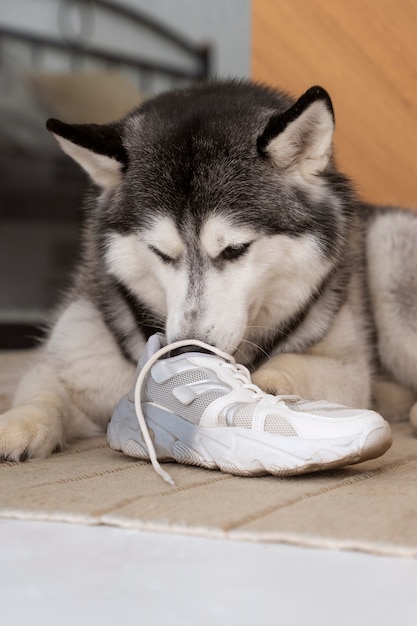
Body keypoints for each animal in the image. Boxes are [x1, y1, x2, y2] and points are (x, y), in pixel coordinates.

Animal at [0, 80, 416, 458]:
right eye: (160, 252)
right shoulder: (78, 354)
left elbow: (298, 366)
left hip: (389, 249)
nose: (187, 349)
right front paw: (21, 424)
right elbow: (46, 389)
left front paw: (266, 384)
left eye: (235, 249)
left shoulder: (347, 369)